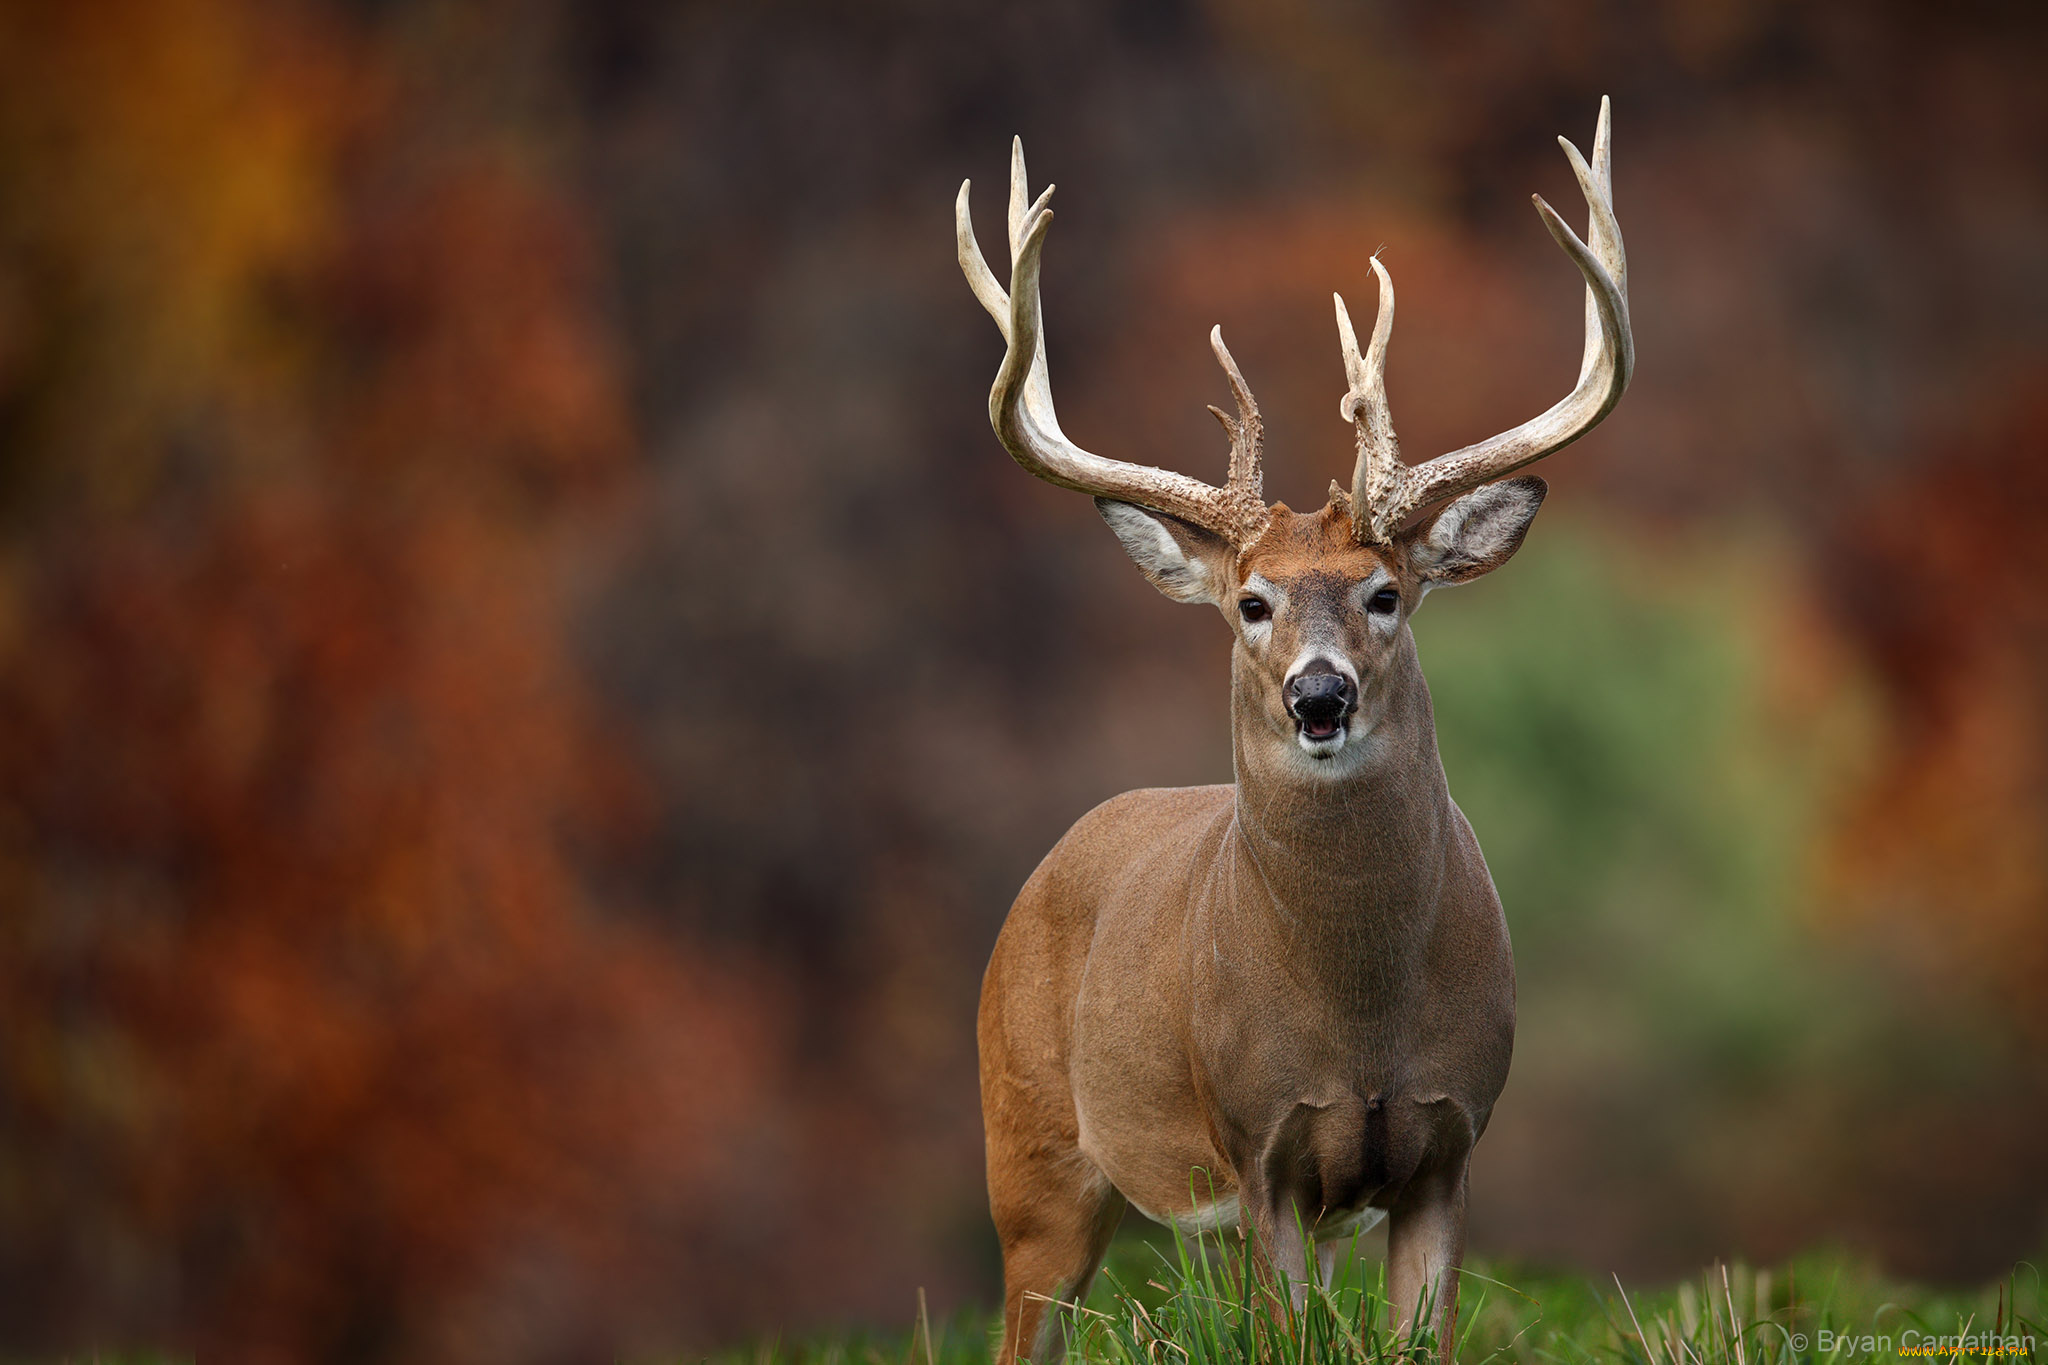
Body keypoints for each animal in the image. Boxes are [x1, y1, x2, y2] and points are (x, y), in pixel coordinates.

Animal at [954, 101, 1630, 1365]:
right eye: (1251, 603)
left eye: (1385, 592)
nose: (1319, 697)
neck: (1357, 1016)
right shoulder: (1257, 1142)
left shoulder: (1450, 1140)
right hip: (1025, 1145)